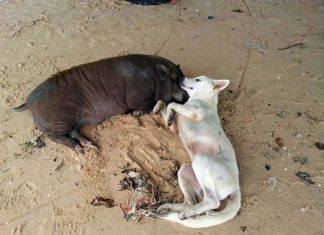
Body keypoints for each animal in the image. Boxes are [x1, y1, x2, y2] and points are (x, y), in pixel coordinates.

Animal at [13, 54, 189, 151]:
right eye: (175, 79)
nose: (187, 97)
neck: (153, 80)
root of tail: (29, 101)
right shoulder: (136, 97)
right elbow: (149, 104)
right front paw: (139, 112)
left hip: (72, 121)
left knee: (73, 132)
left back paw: (92, 146)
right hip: (60, 120)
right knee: (54, 136)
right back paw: (80, 150)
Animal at [153, 75, 240, 228]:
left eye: (198, 79)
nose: (180, 77)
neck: (203, 99)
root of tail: (236, 188)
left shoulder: (196, 112)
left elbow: (172, 103)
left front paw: (168, 110)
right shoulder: (174, 128)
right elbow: (165, 105)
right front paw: (160, 108)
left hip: (201, 159)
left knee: (212, 202)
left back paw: (187, 212)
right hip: (185, 169)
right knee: (190, 202)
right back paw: (173, 208)